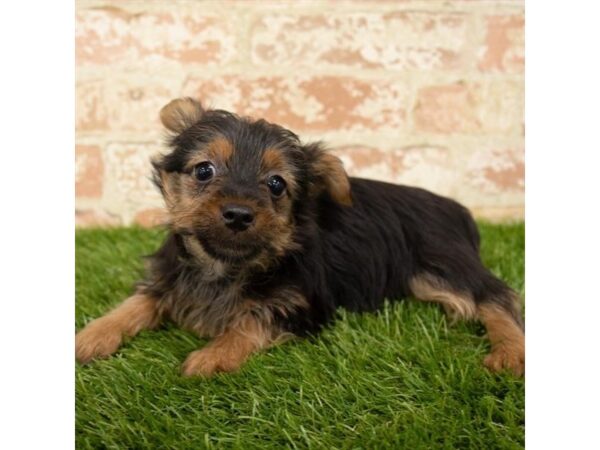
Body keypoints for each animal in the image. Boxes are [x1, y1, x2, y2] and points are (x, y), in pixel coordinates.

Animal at [75, 97, 524, 376]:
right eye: (204, 170)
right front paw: (92, 336)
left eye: (276, 185)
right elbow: (137, 301)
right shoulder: (169, 274)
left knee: (496, 296)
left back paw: (509, 352)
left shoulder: (299, 302)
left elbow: (252, 320)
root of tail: (455, 208)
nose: (238, 213)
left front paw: (213, 356)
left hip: (440, 265)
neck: (225, 265)